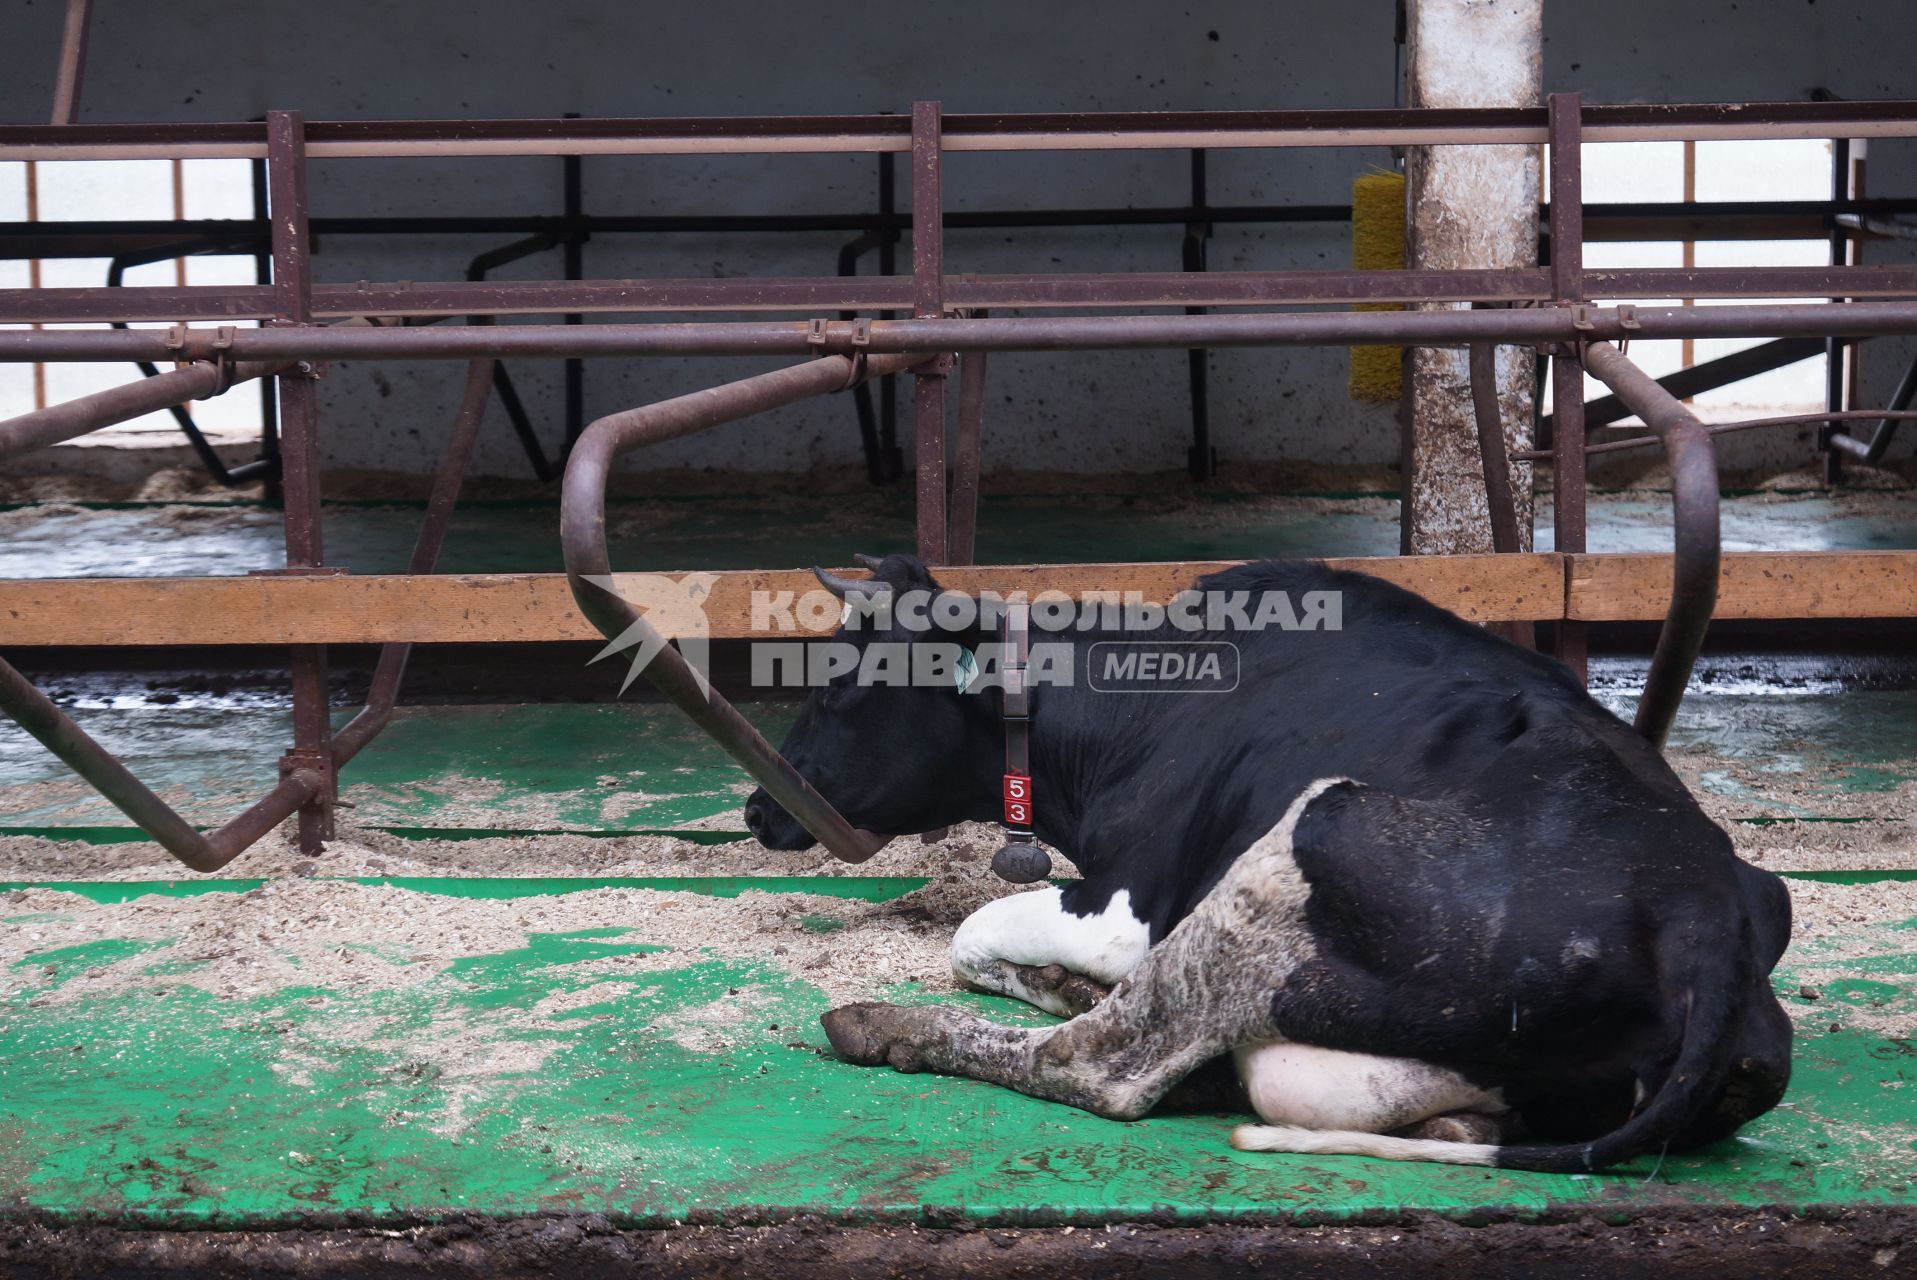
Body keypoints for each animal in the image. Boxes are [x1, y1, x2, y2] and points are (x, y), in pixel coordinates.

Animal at [739, 555, 1786, 1172]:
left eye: (841, 685)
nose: (756, 807)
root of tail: (1703, 921)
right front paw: (1058, 982)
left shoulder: (1130, 904)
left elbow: (974, 932)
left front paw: (1056, 980)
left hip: (1299, 846)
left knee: (1103, 1065)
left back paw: (881, 1026)